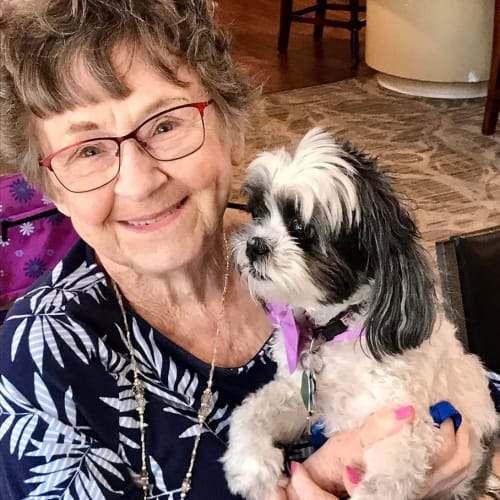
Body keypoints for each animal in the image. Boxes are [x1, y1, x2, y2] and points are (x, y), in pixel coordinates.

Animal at [224, 129, 500, 500]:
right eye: (256, 212)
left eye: (300, 227)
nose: (254, 244)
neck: (336, 327)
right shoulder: (303, 398)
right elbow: (253, 409)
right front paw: (251, 465)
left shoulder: (409, 424)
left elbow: (389, 477)